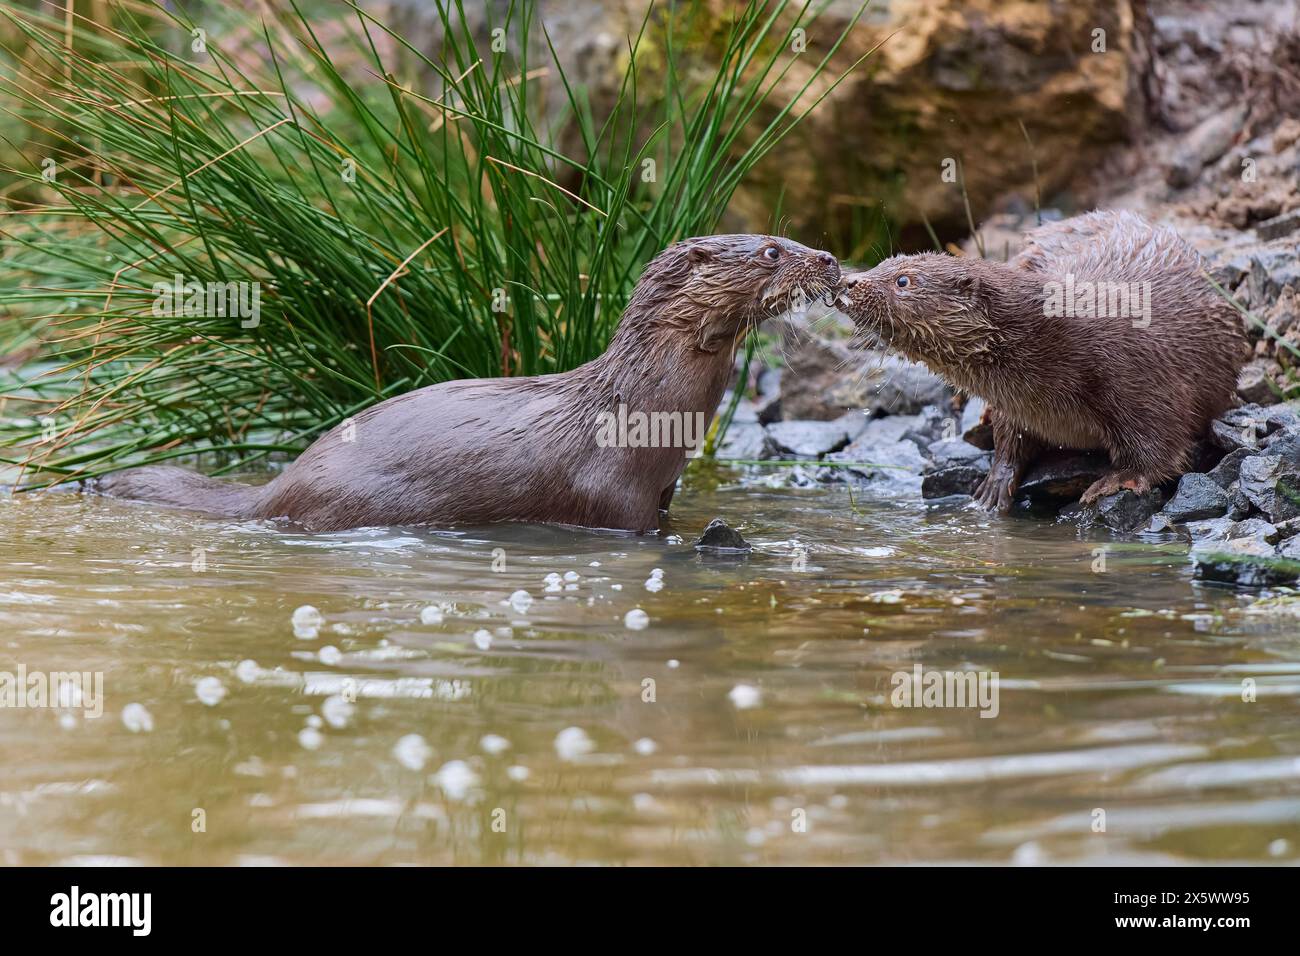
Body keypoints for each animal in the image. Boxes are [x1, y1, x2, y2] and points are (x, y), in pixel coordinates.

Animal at [92, 235, 839, 532]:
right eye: (772, 250)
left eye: (790, 239)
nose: (831, 258)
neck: (643, 408)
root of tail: (278, 487)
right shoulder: (616, 497)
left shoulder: (663, 489)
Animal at [836, 210, 1247, 511]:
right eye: (882, 264)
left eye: (904, 281)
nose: (849, 281)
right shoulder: (1015, 404)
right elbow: (1010, 438)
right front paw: (995, 482)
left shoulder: (1137, 376)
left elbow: (1161, 444)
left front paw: (1116, 480)